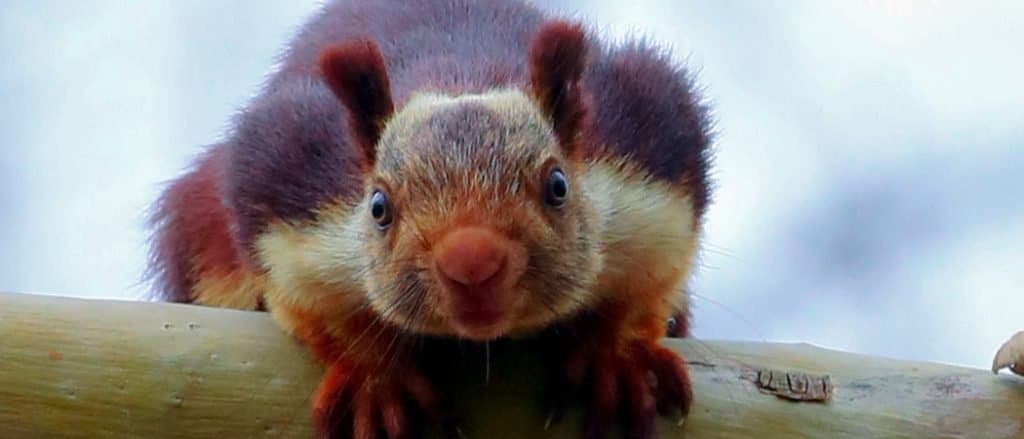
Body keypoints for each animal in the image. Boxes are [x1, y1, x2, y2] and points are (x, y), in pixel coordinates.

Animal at [149, 1, 712, 435]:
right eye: (378, 207)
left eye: (558, 185)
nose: (473, 263)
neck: (460, 76)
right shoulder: (288, 185)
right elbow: (307, 300)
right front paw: (377, 377)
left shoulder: (650, 158)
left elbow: (653, 276)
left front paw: (613, 356)